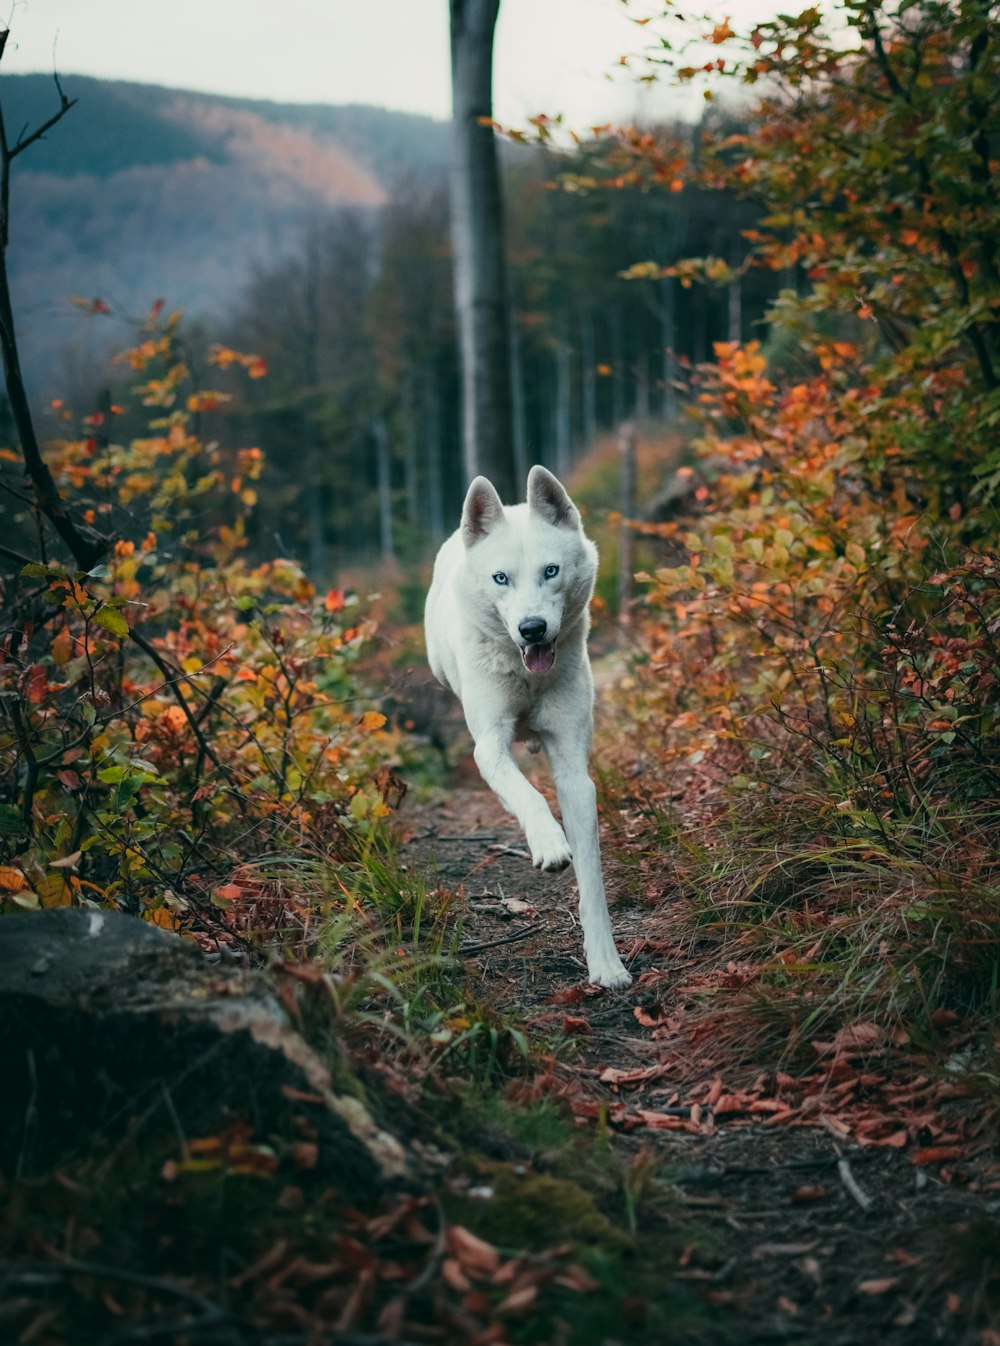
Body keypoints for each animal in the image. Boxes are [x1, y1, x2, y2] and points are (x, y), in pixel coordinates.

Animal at [425, 463, 632, 990]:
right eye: (502, 578)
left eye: (550, 571)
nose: (532, 628)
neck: (528, 677)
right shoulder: (488, 748)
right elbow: (529, 796)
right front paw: (550, 843)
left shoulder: (575, 772)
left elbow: (591, 880)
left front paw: (606, 965)